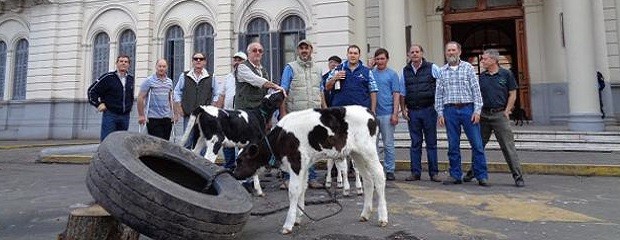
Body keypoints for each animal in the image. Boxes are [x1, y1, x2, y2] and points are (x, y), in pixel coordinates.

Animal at [232, 105, 388, 234]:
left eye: (240, 161)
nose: (234, 174)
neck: (281, 138)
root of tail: (369, 111)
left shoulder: (296, 163)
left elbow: (293, 191)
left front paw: (288, 224)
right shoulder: (304, 166)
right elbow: (302, 188)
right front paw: (298, 218)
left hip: (368, 150)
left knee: (379, 176)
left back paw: (383, 217)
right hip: (357, 154)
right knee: (368, 179)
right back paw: (365, 214)